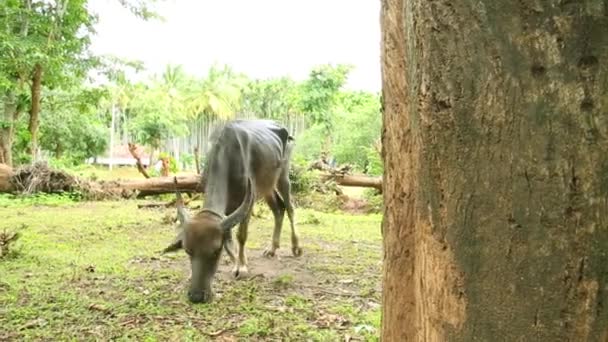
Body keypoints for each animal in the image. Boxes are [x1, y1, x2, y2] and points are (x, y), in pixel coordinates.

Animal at [164, 119, 302, 304]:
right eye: (188, 251)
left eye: (216, 251)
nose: (196, 296)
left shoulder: (248, 202)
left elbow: (241, 236)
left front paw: (241, 267)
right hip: (267, 187)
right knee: (278, 210)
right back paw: (272, 249)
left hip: (283, 177)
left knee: (290, 208)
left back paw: (296, 247)